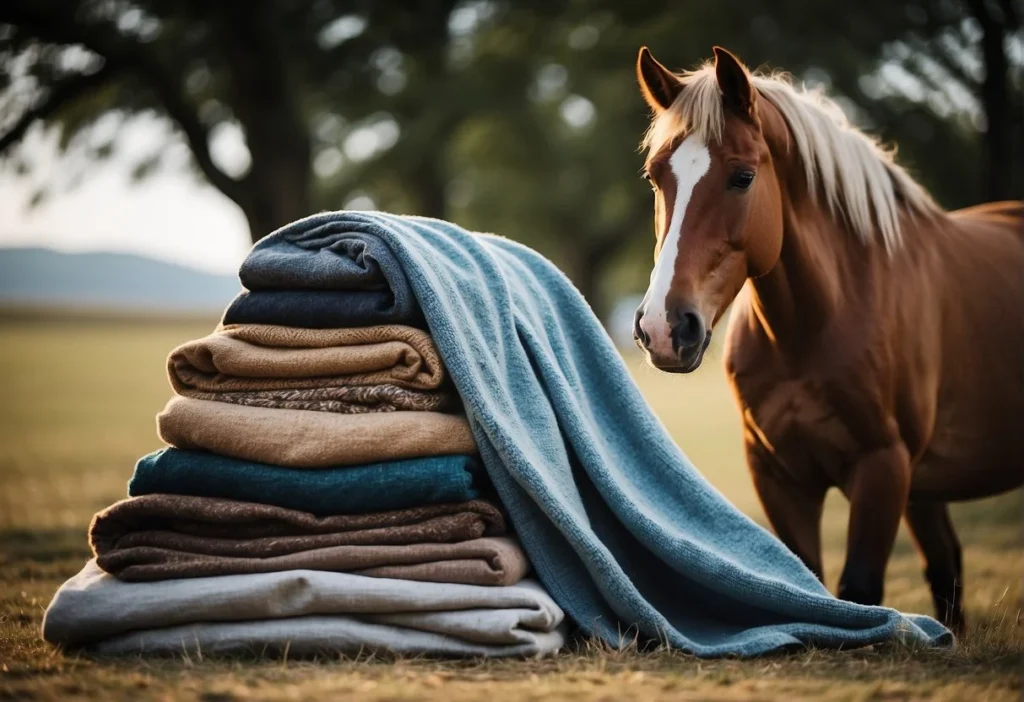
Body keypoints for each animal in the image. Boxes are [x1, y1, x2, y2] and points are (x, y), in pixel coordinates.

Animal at [630, 46, 1024, 634]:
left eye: (743, 177)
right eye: (657, 177)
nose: (663, 328)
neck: (813, 329)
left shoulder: (882, 468)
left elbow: (857, 589)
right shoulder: (777, 475)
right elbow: (807, 579)